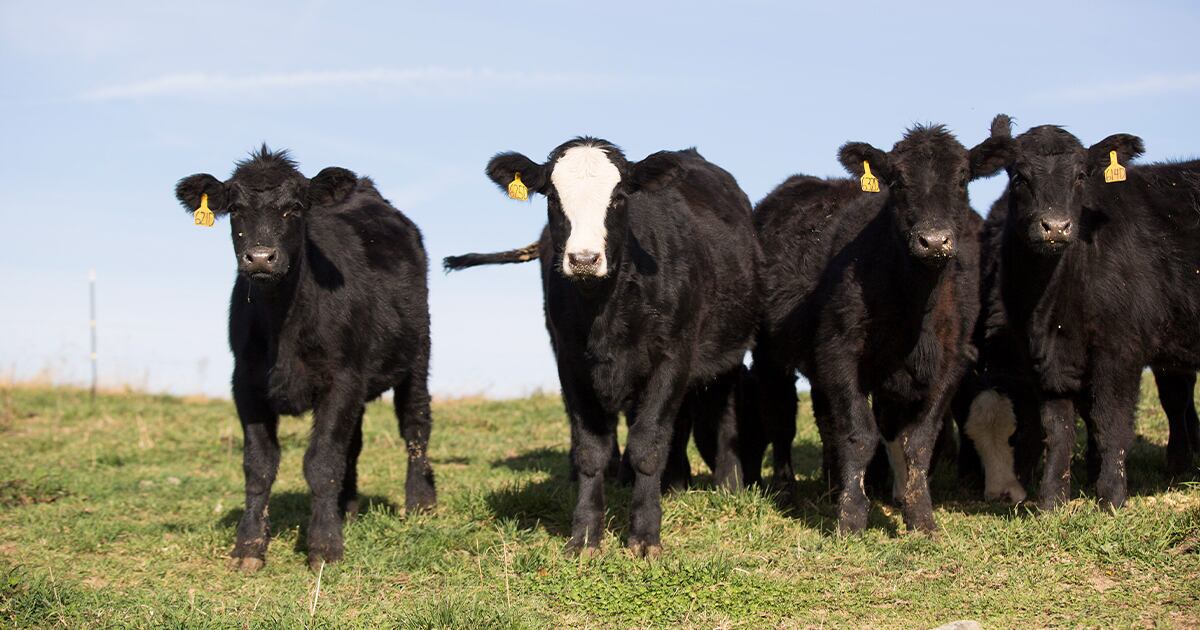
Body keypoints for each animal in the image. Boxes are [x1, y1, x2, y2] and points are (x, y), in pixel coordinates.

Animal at [174, 146, 436, 572]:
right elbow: (259, 466)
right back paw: (347, 507)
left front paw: (325, 546)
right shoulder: (246, 384)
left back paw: (420, 503)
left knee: (415, 425)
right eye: (235, 208)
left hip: (417, 354)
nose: (260, 257)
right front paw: (249, 546)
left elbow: (321, 462)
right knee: (354, 443)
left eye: (294, 208)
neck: (284, 322)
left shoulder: (341, 379)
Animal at [448, 139, 760, 556]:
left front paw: (645, 535)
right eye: (553, 198)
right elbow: (591, 451)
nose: (583, 259)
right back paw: (675, 482)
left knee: (720, 408)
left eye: (619, 197)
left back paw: (729, 485)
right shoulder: (572, 364)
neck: (605, 309)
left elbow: (647, 445)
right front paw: (584, 537)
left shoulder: (672, 357)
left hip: (728, 349)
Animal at [752, 123, 1012, 533]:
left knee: (826, 419)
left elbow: (919, 440)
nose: (933, 241)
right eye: (899, 181)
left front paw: (920, 517)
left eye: (961, 179)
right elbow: (859, 434)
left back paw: (831, 483)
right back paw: (786, 488)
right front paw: (852, 517)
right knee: (780, 418)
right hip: (769, 352)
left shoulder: (953, 362)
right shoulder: (840, 352)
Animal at [973, 116, 1200, 510]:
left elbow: (1110, 422)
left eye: (1080, 176)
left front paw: (1110, 496)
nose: (1056, 227)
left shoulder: (1120, 351)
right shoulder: (1046, 359)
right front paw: (1051, 499)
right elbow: (1057, 428)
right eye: (1019, 176)